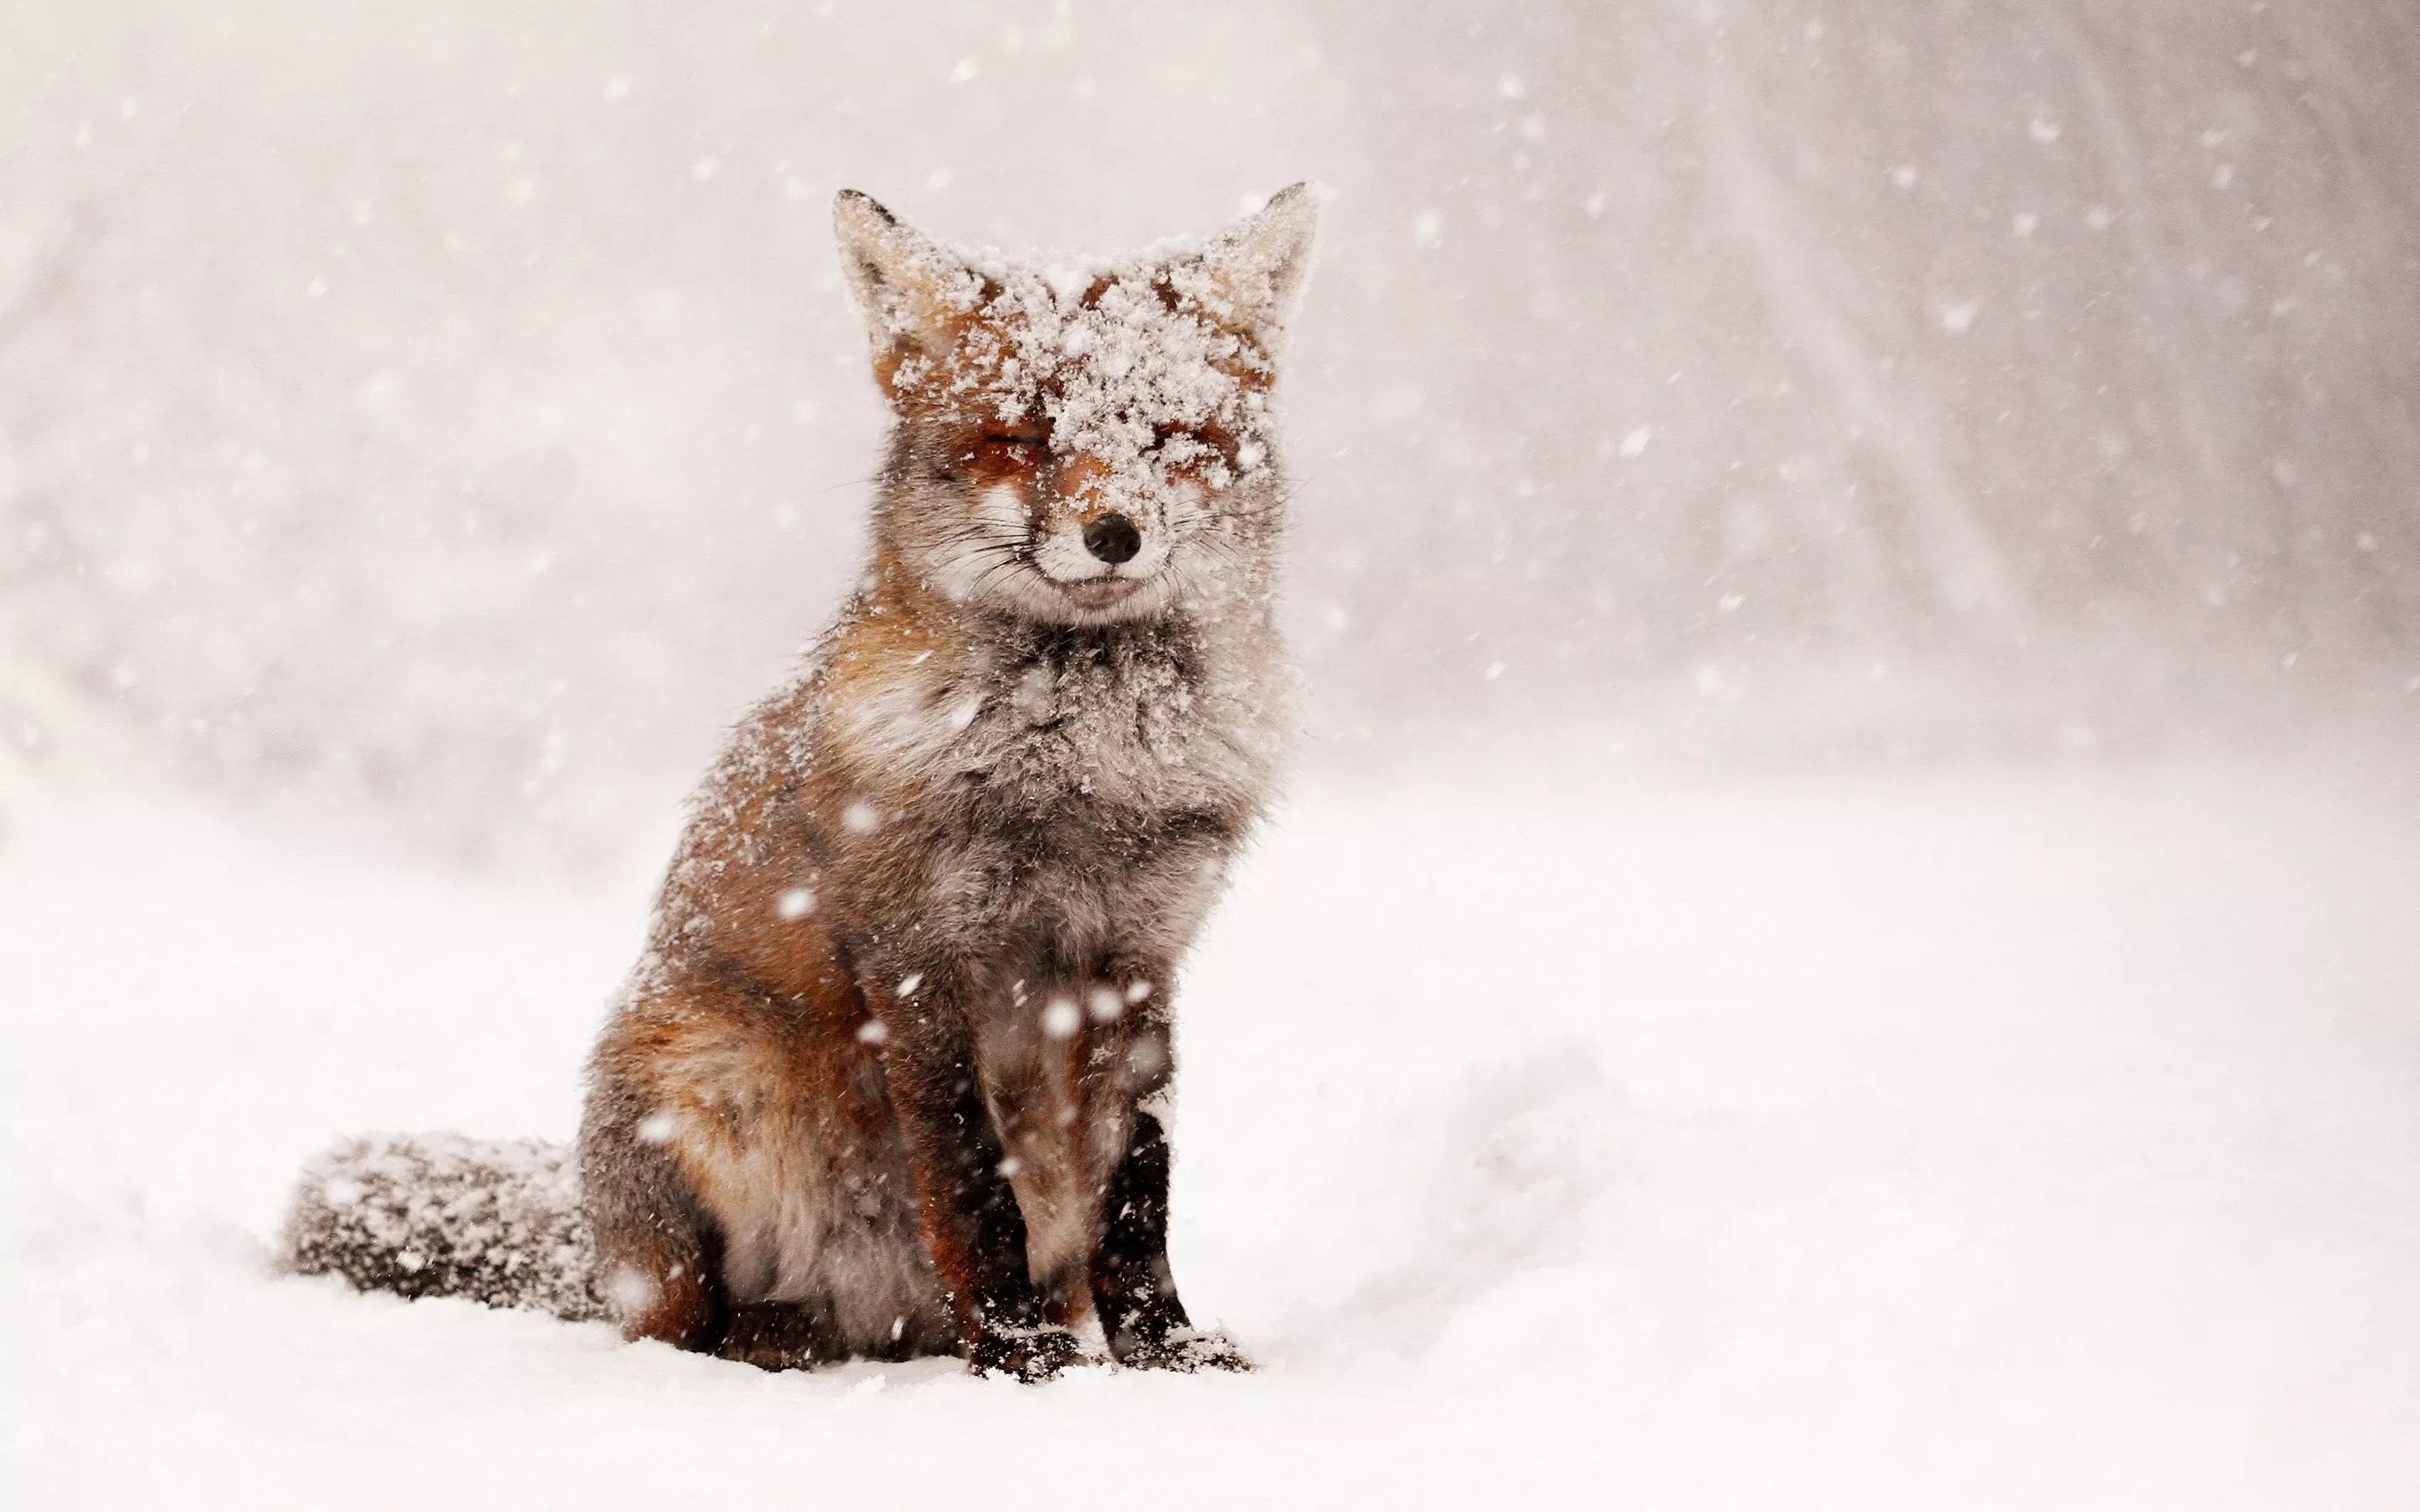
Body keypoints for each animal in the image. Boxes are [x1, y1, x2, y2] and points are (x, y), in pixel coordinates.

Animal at [283, 184, 1318, 1381]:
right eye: (1020, 439)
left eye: (1168, 438)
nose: (1115, 533)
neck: (1080, 777)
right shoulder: (918, 954)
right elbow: (970, 1183)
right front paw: (1020, 1358)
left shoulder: (1141, 958)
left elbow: (1138, 1190)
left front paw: (1163, 1350)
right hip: (705, 1085)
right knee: (682, 1326)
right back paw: (781, 1342)